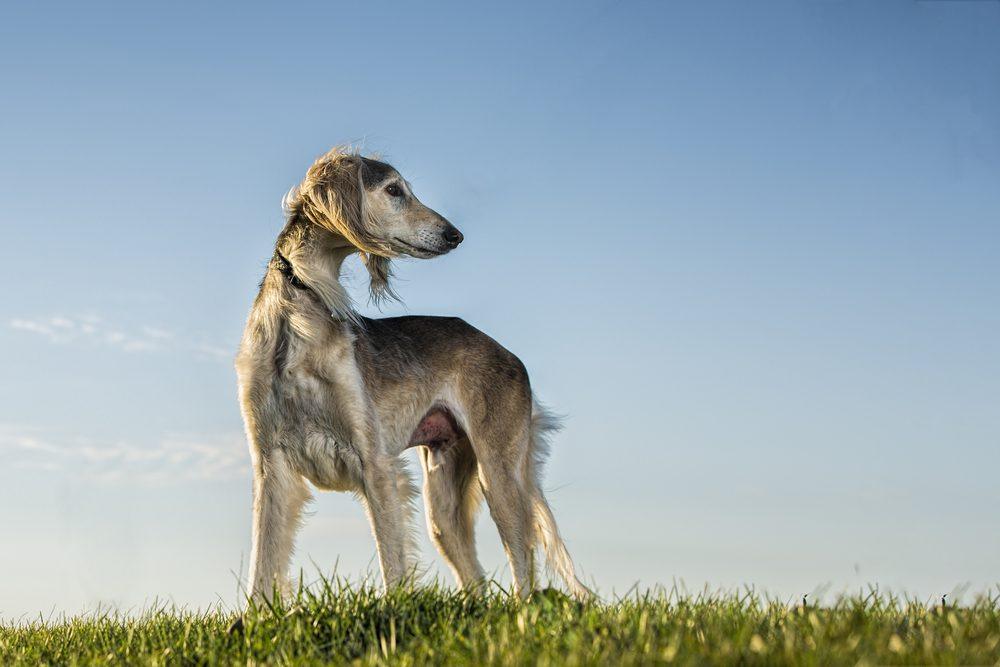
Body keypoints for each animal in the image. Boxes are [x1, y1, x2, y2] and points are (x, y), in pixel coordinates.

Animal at [234, 146, 584, 600]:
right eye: (394, 190)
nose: (454, 234)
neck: (297, 319)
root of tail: (508, 353)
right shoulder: (270, 464)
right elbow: (262, 564)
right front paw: (255, 615)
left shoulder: (375, 461)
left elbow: (393, 563)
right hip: (444, 501)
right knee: (476, 578)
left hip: (500, 474)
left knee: (522, 562)